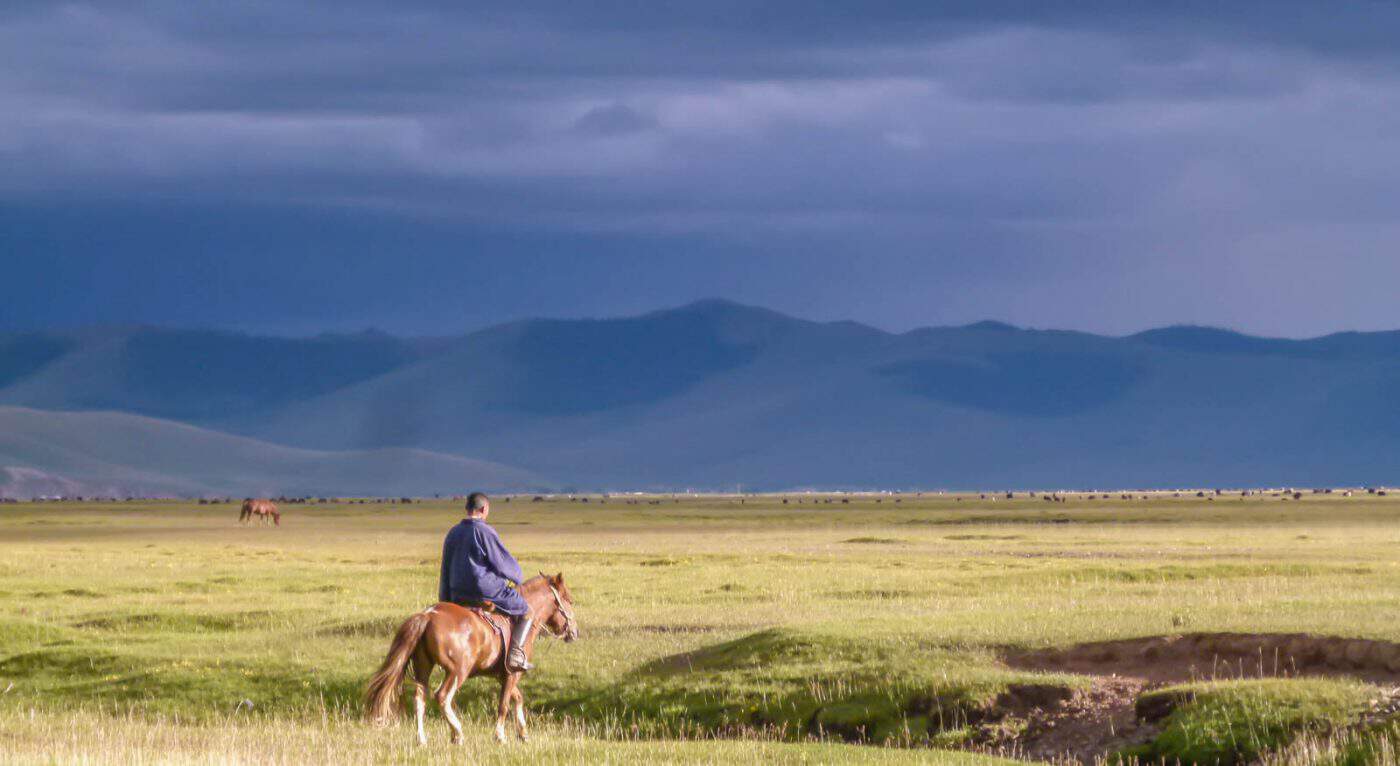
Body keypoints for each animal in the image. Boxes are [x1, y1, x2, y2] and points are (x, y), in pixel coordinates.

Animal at [366, 576, 579, 744]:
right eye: (569, 600)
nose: (574, 632)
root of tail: (428, 615)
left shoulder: (504, 676)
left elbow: (517, 698)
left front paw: (523, 733)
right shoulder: (512, 673)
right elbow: (504, 705)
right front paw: (500, 736)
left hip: (423, 669)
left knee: (420, 699)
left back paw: (422, 739)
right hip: (457, 671)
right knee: (442, 697)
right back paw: (457, 733)